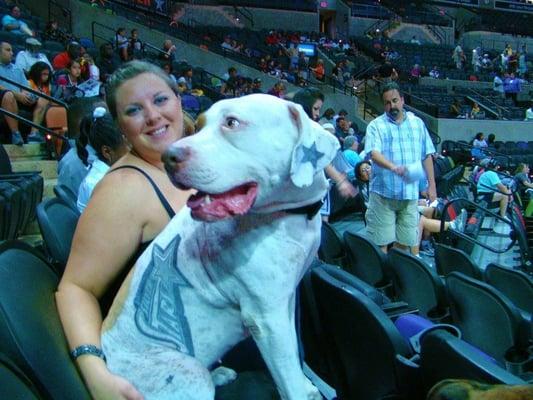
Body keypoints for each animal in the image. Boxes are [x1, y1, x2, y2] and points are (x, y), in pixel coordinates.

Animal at [102, 94, 338, 400]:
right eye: (201, 124)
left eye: (231, 123)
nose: (169, 156)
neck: (289, 213)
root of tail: (106, 359)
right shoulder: (267, 318)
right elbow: (289, 378)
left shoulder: (284, 299)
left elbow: (294, 361)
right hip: (189, 374)